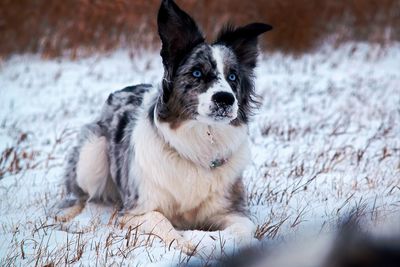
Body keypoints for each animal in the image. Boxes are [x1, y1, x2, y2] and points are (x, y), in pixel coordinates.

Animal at [55, 0, 272, 255]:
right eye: (196, 72)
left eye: (233, 76)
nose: (225, 99)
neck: (199, 143)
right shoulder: (136, 211)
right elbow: (162, 221)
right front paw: (187, 240)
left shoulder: (233, 210)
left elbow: (242, 231)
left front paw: (205, 239)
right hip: (92, 153)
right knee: (86, 198)